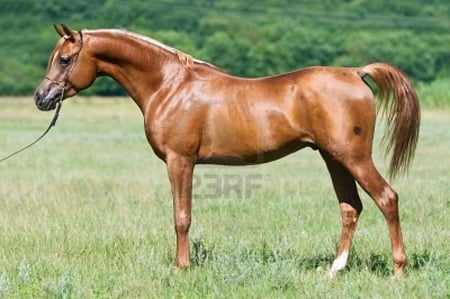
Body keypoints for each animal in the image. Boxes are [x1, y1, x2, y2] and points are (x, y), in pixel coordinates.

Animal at [34, 25, 418, 278]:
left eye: (65, 59)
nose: (42, 98)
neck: (169, 85)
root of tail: (355, 73)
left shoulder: (180, 161)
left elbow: (181, 217)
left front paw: (182, 268)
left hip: (353, 157)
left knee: (387, 198)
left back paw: (398, 270)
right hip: (333, 158)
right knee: (351, 208)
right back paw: (334, 270)